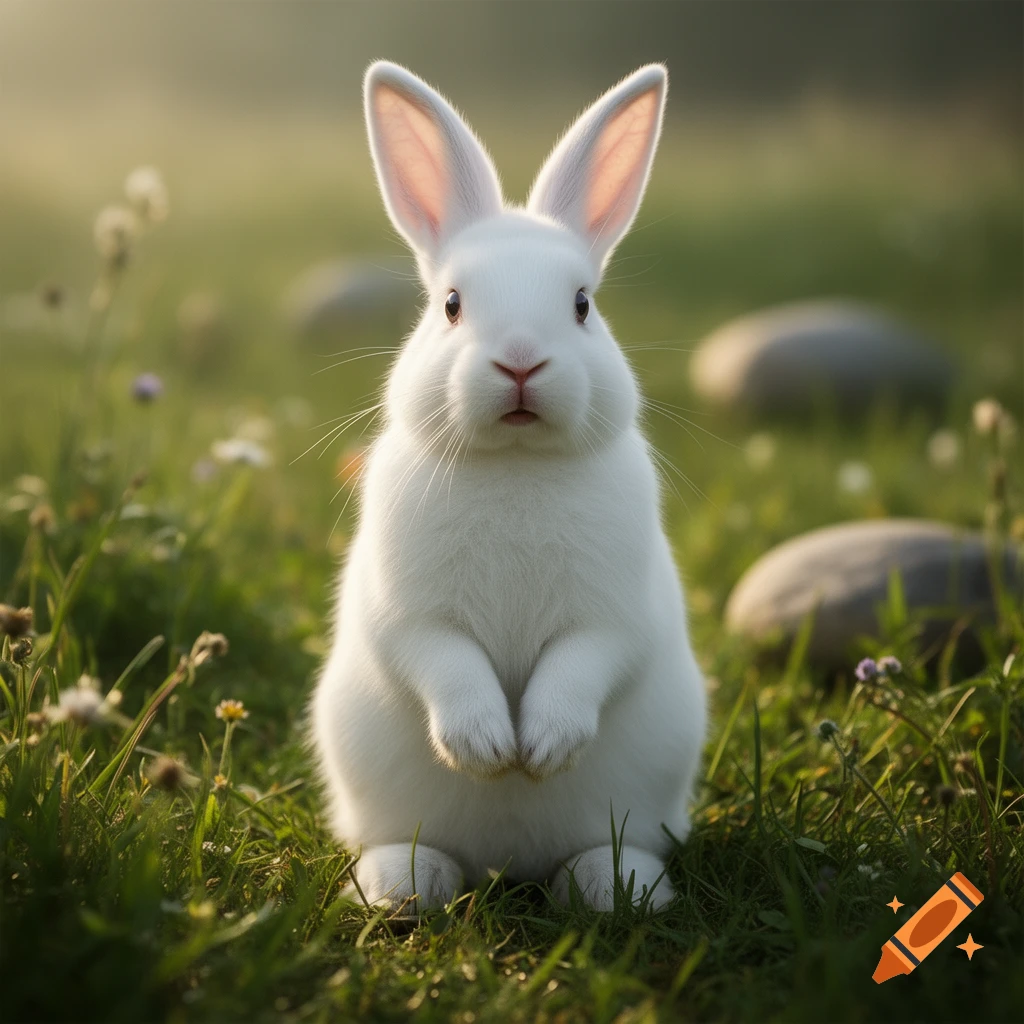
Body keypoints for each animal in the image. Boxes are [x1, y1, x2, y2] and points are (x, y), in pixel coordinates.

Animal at [310, 60, 707, 913]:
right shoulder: (409, 612)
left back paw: (619, 888)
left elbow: (584, 662)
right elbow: (444, 660)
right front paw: (490, 748)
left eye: (583, 305)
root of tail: (509, 865)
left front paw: (543, 746)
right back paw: (401, 887)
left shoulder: (615, 614)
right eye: (451, 305)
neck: (516, 463)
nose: (521, 360)